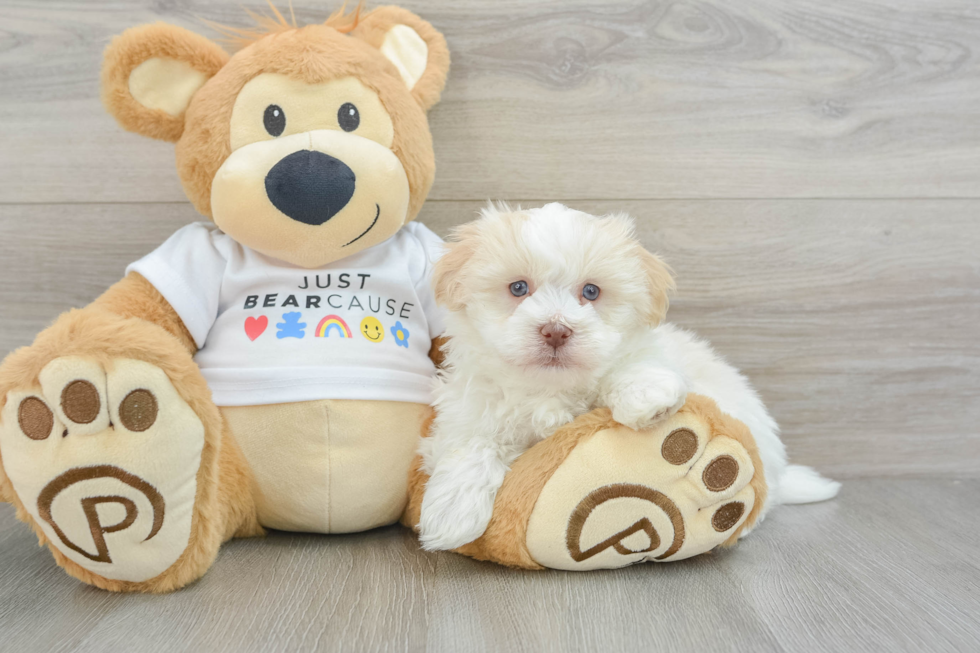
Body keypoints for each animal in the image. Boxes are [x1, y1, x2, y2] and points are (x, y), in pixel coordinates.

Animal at [418, 202, 840, 552]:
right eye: (518, 288)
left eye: (591, 291)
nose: (556, 331)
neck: (550, 388)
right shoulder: (469, 408)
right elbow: (471, 445)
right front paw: (452, 515)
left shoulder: (647, 353)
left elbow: (630, 364)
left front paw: (647, 398)